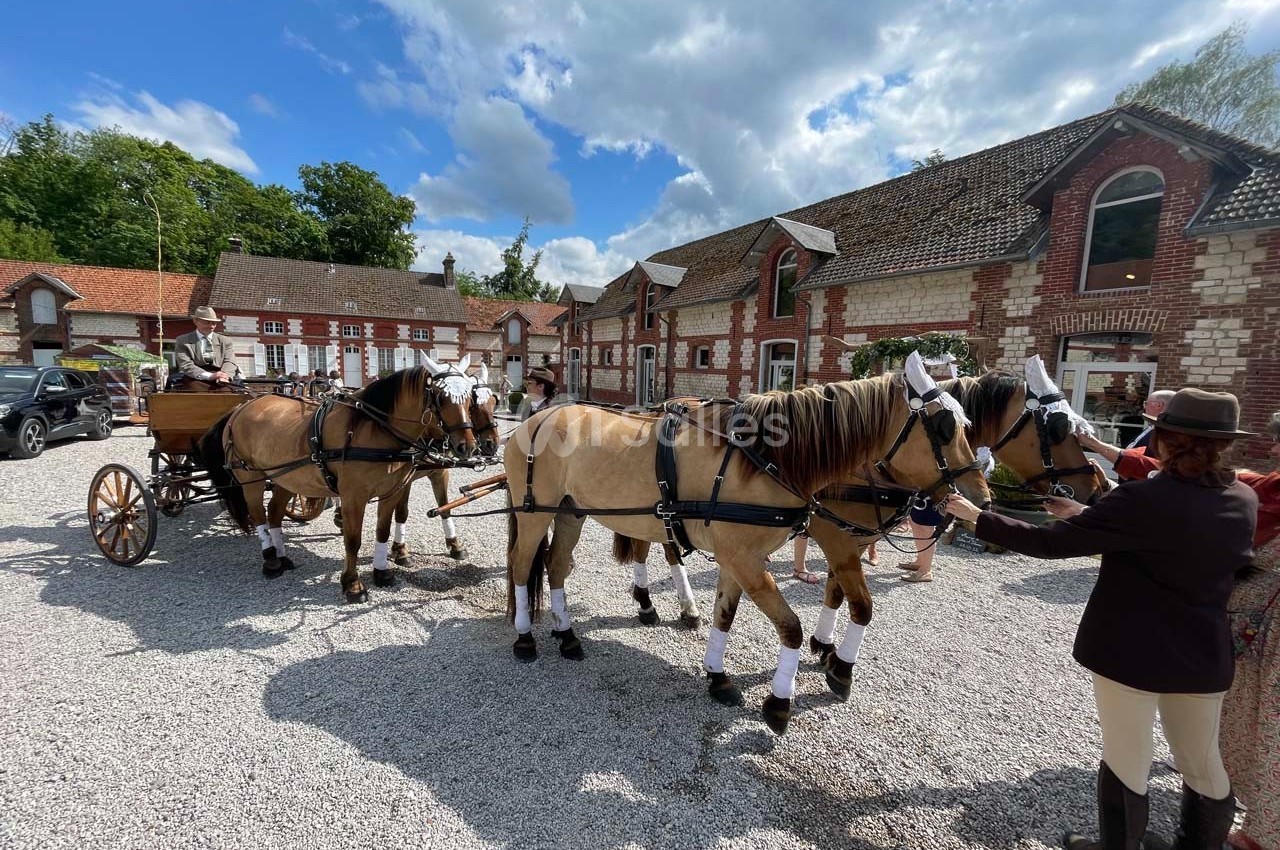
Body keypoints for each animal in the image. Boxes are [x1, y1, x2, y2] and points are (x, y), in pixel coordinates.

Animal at [197, 364, 477, 602]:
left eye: (470, 398)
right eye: (441, 397)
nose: (468, 446)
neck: (375, 429)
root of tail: (241, 408)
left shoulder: (391, 492)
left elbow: (383, 531)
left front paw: (382, 572)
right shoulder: (353, 496)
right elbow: (352, 540)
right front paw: (352, 585)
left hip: (285, 478)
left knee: (274, 513)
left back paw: (282, 556)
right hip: (250, 478)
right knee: (258, 516)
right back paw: (271, 560)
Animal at [503, 352, 991, 733]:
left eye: (967, 423)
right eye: (944, 427)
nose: (982, 498)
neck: (766, 458)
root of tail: (536, 418)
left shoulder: (743, 558)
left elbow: (728, 614)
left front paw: (720, 676)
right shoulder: (758, 556)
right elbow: (793, 626)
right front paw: (782, 700)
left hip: (571, 512)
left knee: (557, 566)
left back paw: (568, 634)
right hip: (536, 514)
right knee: (522, 565)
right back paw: (525, 638)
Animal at [614, 356, 1105, 703]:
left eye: (966, 426)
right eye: (1059, 427)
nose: (1095, 487)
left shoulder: (848, 540)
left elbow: (836, 597)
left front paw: (825, 646)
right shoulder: (838, 539)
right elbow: (862, 607)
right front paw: (840, 669)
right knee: (656, 549)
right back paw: (661, 603)